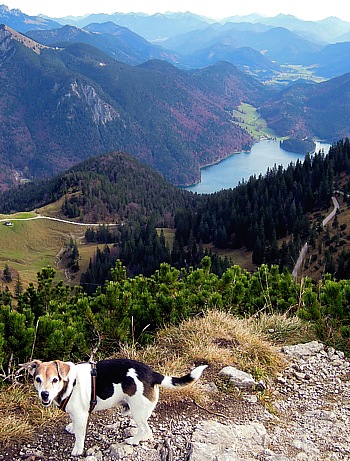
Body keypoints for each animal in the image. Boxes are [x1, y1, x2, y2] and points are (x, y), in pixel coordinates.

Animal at [21, 358, 208, 454]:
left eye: (55, 379)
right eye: (37, 379)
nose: (44, 394)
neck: (69, 382)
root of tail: (152, 373)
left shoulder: (81, 415)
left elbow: (80, 437)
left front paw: (77, 450)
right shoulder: (76, 414)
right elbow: (74, 424)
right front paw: (72, 428)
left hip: (138, 411)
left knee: (145, 429)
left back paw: (133, 440)